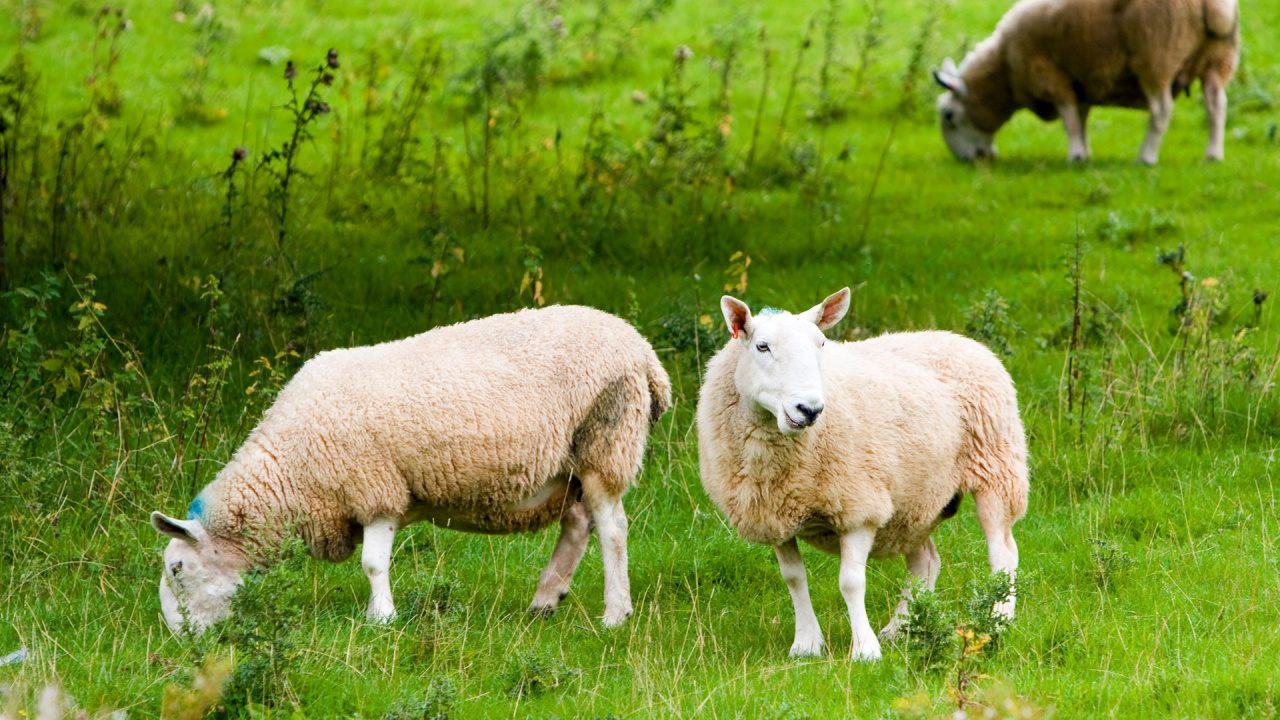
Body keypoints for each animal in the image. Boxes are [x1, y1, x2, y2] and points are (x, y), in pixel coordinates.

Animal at [149, 304, 671, 633]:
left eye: (177, 568)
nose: (179, 636)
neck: (287, 474)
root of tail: (644, 352)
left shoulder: (375, 489)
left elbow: (372, 563)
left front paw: (381, 618)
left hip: (606, 441)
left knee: (612, 529)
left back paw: (615, 614)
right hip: (572, 467)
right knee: (579, 523)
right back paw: (546, 599)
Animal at [696, 289, 1029, 660]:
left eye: (821, 343)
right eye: (762, 346)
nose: (809, 409)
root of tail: (958, 338)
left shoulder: (858, 506)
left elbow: (851, 582)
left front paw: (865, 650)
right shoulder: (773, 515)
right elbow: (793, 578)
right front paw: (806, 643)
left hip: (997, 469)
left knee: (1003, 553)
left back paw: (998, 621)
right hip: (917, 500)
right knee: (925, 563)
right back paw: (901, 628)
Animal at [933, 0, 1239, 164]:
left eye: (949, 115)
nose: (967, 160)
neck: (1004, 68)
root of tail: (1215, 7)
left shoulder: (1050, 76)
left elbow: (1068, 118)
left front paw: (1076, 156)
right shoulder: (1080, 79)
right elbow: (1080, 118)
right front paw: (1085, 153)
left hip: (1156, 53)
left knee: (1161, 110)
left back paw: (1146, 156)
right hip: (1217, 56)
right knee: (1217, 105)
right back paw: (1213, 154)